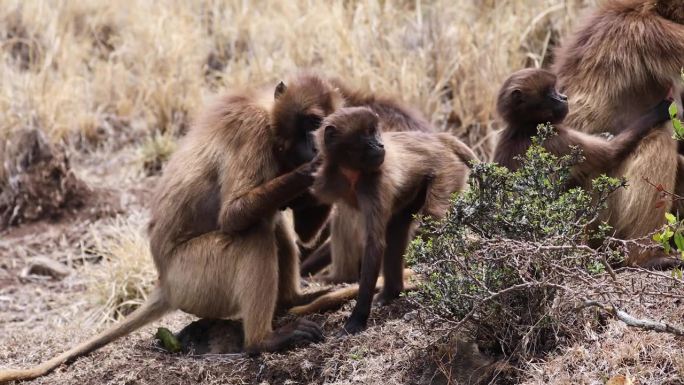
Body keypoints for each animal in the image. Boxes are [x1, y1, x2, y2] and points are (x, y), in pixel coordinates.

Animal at [0, 73, 342, 382]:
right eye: (311, 121)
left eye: (323, 126)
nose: (315, 148)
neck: (271, 122)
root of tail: (164, 282)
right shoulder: (251, 130)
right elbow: (233, 216)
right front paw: (314, 168)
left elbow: (303, 232)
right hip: (194, 279)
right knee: (254, 234)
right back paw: (263, 341)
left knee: (274, 226)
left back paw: (292, 302)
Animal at [302, 106, 478, 332]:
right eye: (367, 134)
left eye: (374, 132)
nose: (380, 144)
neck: (351, 172)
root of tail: (439, 139)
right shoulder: (328, 180)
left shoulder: (374, 184)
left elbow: (375, 244)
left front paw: (357, 319)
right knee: (397, 228)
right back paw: (391, 293)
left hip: (447, 171)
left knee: (432, 217)